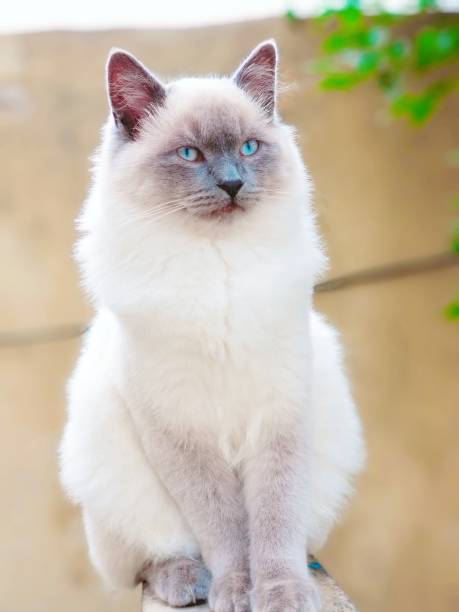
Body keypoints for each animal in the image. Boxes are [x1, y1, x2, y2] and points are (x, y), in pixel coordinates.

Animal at [58, 39, 366, 612]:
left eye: (248, 148)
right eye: (190, 155)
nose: (232, 184)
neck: (218, 266)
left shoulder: (279, 411)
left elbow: (273, 521)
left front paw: (282, 594)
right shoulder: (179, 429)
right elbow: (222, 526)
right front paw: (237, 592)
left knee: (301, 539)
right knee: (146, 564)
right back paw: (188, 581)